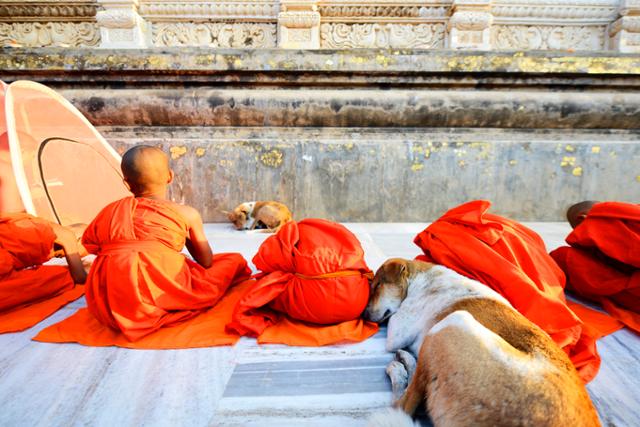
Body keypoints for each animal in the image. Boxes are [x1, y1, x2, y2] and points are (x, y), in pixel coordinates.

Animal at [364, 260, 600, 427]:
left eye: (377, 286)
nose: (364, 315)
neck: (421, 278)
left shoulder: (398, 330)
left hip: (454, 322)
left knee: (402, 405)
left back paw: (399, 368)